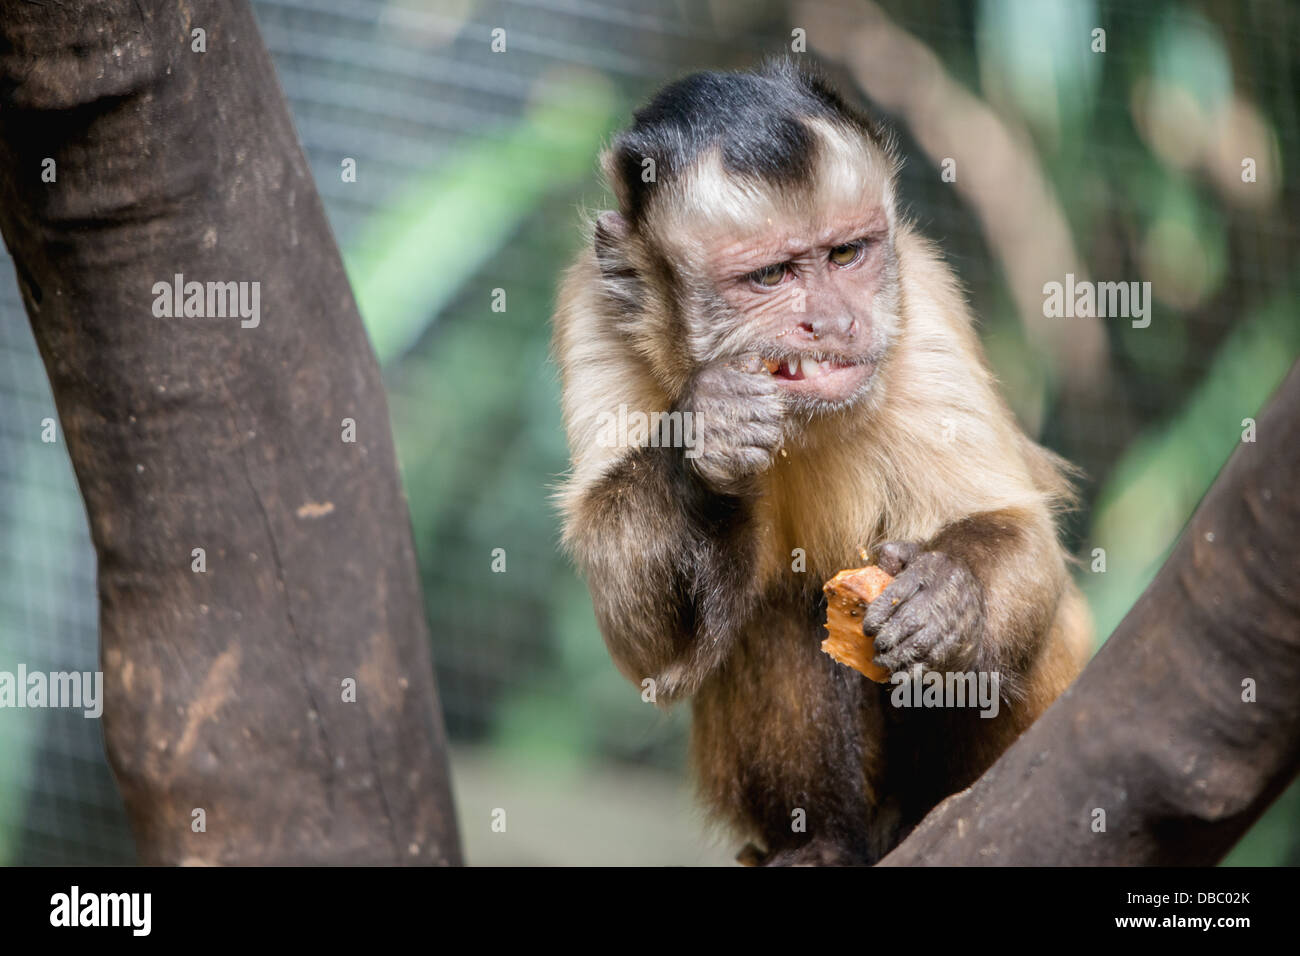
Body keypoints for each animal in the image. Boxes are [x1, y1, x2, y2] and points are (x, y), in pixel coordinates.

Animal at [548, 61, 1086, 868]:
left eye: (845, 256)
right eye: (770, 275)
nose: (833, 322)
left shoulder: (920, 297)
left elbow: (1018, 533)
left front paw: (947, 598)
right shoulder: (594, 310)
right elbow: (647, 651)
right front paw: (707, 434)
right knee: (772, 606)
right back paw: (821, 844)